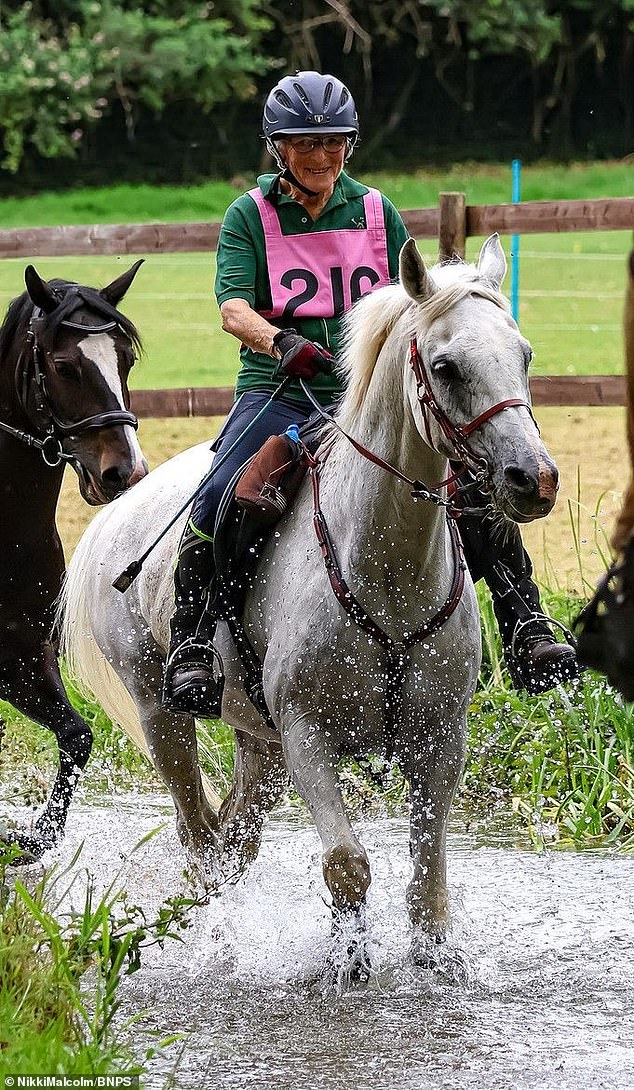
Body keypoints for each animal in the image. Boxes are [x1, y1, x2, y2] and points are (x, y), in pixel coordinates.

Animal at [59, 235, 559, 961]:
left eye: (522, 355)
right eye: (446, 366)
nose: (534, 479)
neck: (387, 570)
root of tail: (115, 515)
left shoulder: (439, 738)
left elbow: (428, 876)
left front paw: (433, 961)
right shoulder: (308, 738)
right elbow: (348, 866)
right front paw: (350, 962)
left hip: (258, 740)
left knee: (234, 837)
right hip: (162, 713)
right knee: (199, 836)